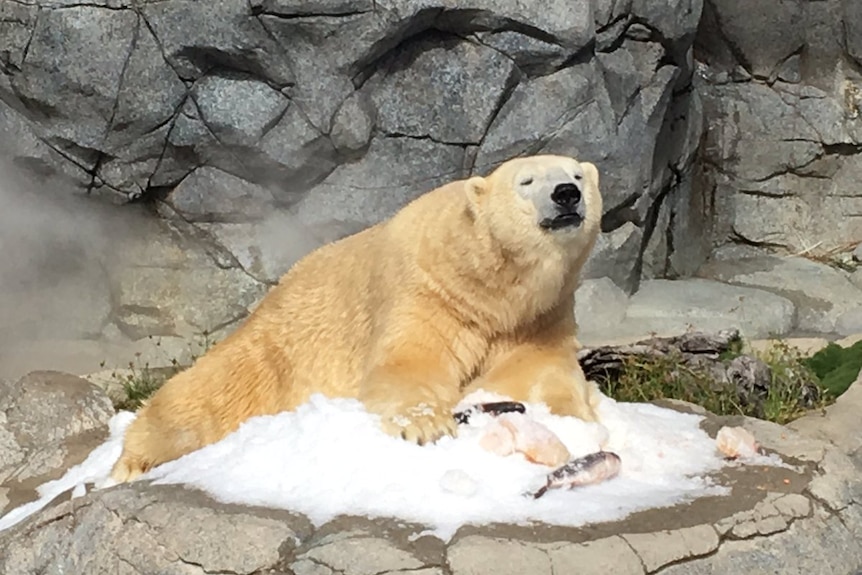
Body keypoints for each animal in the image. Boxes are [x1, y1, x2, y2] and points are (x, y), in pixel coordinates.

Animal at [109, 155, 608, 484]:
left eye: (577, 174)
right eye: (527, 180)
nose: (567, 195)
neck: (492, 287)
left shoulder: (539, 316)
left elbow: (537, 371)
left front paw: (576, 421)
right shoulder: (427, 290)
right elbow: (408, 363)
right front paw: (427, 425)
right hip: (270, 354)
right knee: (198, 399)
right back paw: (130, 463)